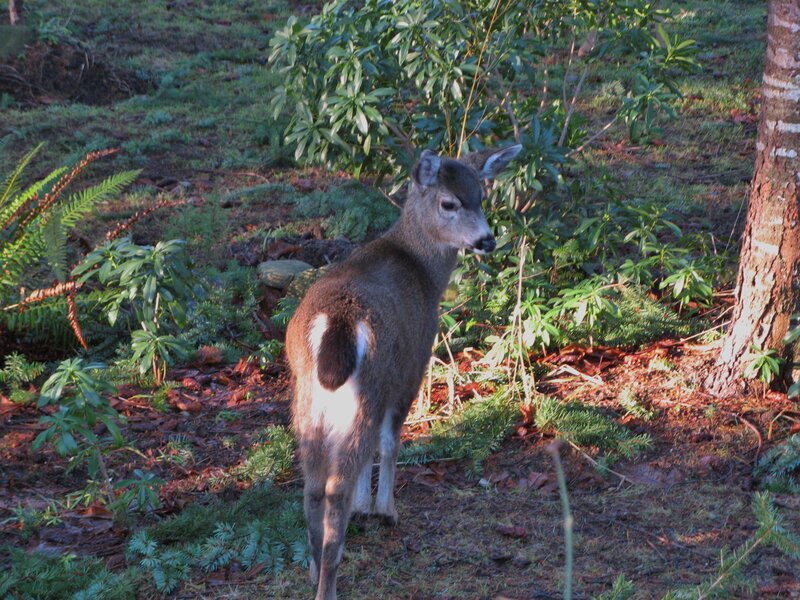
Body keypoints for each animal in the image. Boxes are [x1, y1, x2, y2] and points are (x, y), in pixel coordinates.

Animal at [285, 143, 523, 600]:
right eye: (449, 202)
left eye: (482, 196)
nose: (486, 240)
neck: (422, 270)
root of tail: (337, 324)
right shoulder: (413, 364)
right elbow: (391, 442)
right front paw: (384, 510)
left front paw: (365, 508)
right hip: (369, 385)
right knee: (338, 481)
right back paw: (330, 581)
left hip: (308, 397)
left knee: (312, 484)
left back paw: (313, 565)